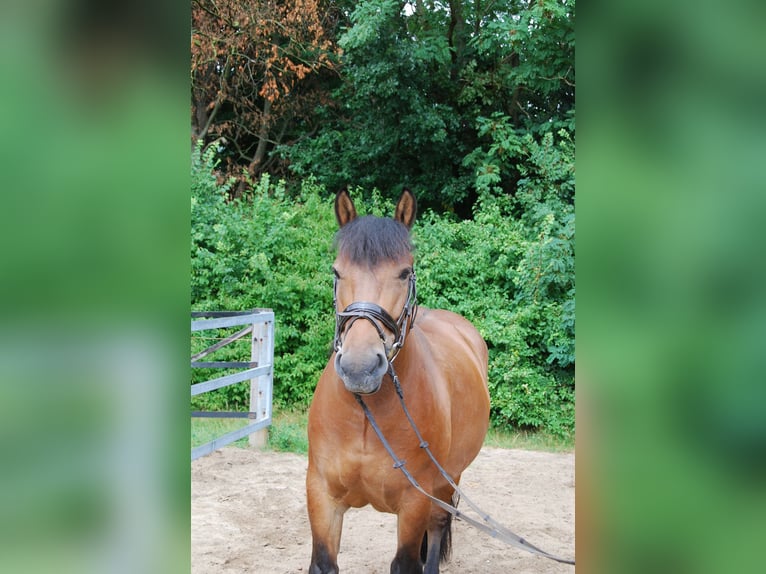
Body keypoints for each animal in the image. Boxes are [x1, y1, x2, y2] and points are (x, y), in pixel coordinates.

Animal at [306, 189, 490, 574]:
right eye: (337, 271)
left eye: (404, 273)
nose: (360, 368)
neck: (366, 418)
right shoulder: (322, 497)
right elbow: (324, 562)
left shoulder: (414, 504)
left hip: (447, 482)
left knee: (437, 527)